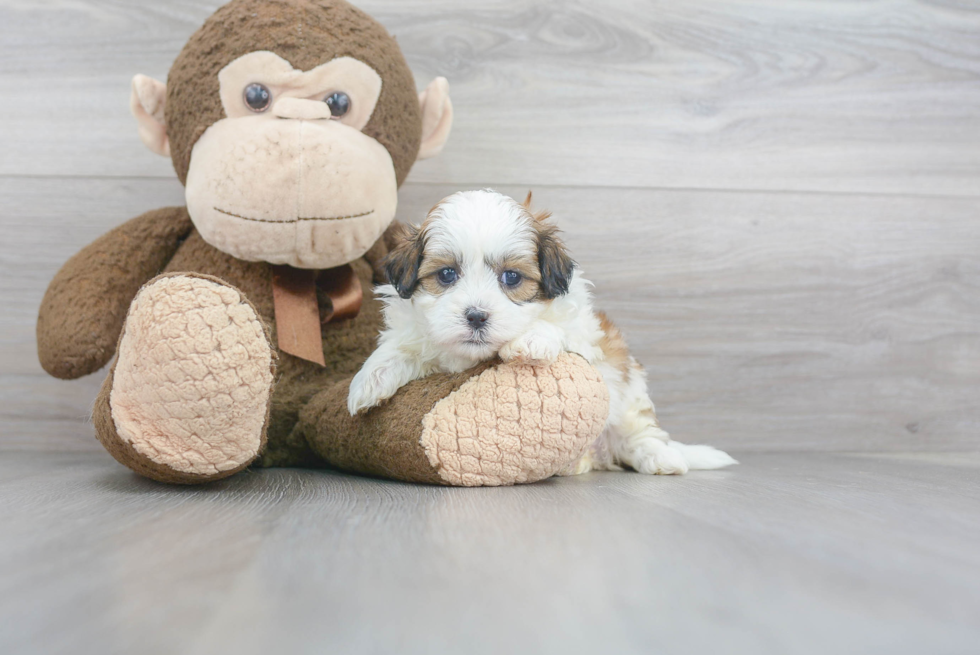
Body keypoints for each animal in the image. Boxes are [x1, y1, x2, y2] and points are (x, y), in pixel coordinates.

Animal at [346, 190, 736, 476]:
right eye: (446, 275)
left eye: (511, 277)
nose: (476, 316)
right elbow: (401, 346)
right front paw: (369, 380)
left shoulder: (584, 330)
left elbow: (556, 325)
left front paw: (531, 339)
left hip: (630, 393)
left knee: (639, 433)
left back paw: (661, 458)